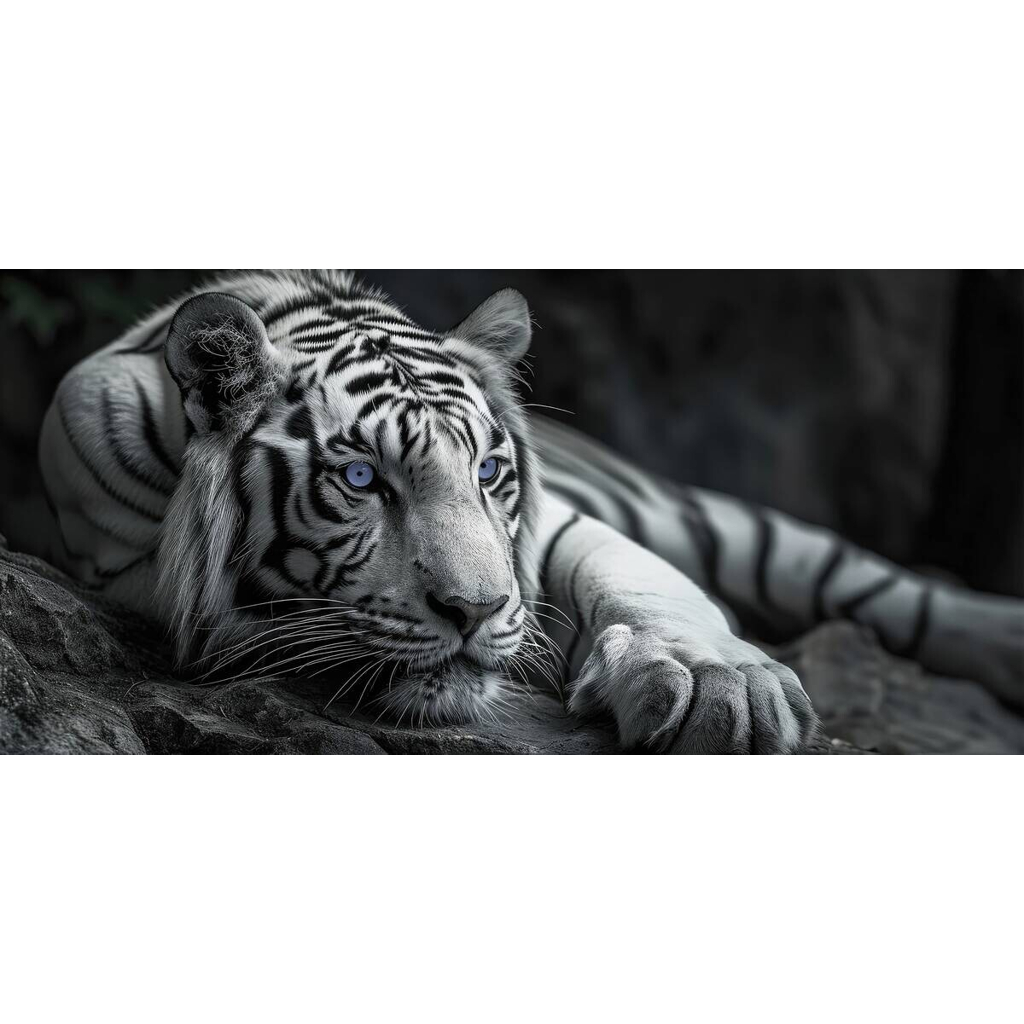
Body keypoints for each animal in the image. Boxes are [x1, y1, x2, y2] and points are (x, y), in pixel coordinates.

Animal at [37, 270, 1023, 752]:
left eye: (488, 473)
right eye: (359, 479)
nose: (475, 614)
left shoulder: (560, 530)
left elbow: (645, 584)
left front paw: (722, 687)